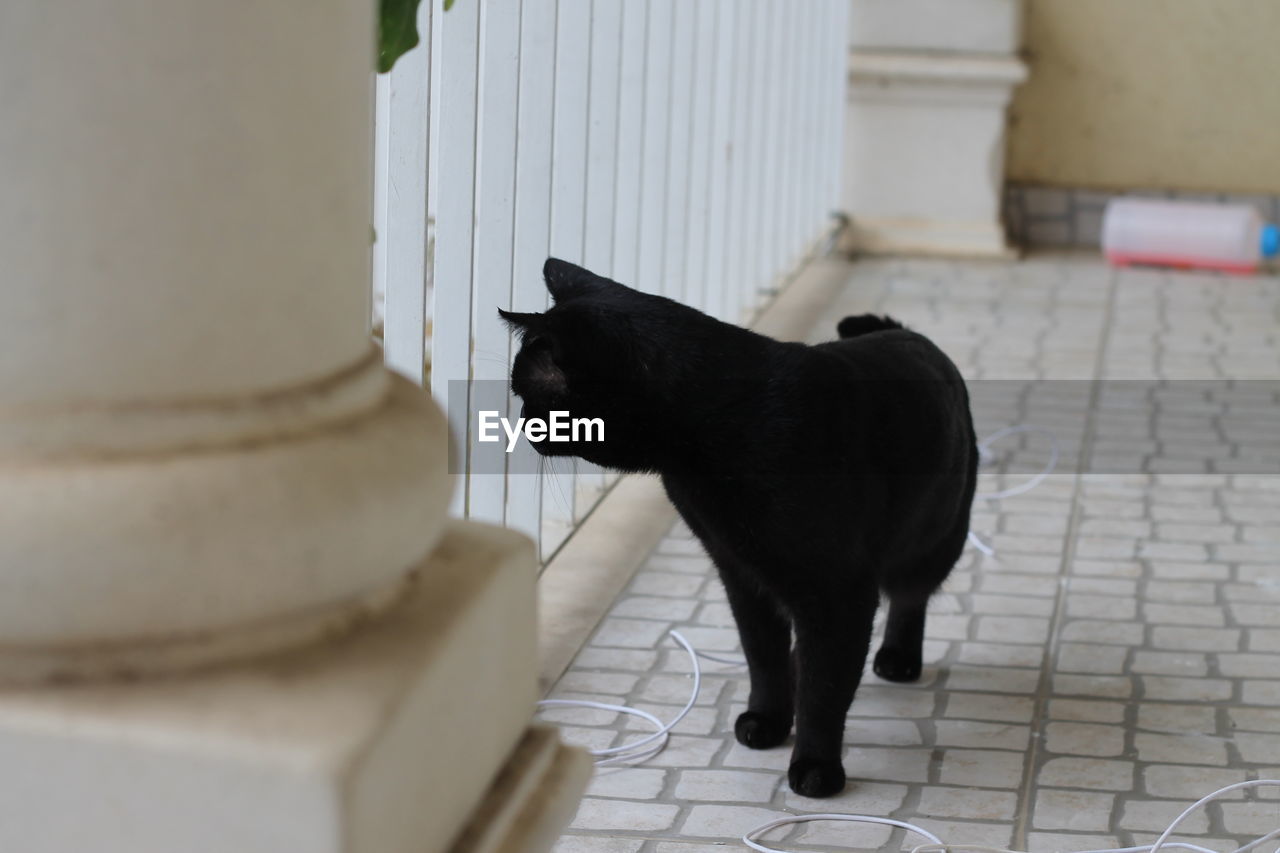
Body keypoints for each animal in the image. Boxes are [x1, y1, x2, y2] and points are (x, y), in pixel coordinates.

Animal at [504, 256, 972, 794]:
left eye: (528, 393)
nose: (520, 422)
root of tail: (906, 332)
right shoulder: (741, 573)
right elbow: (763, 657)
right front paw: (768, 721)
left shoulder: (838, 594)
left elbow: (826, 688)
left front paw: (816, 768)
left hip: (934, 541)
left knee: (911, 598)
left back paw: (898, 658)